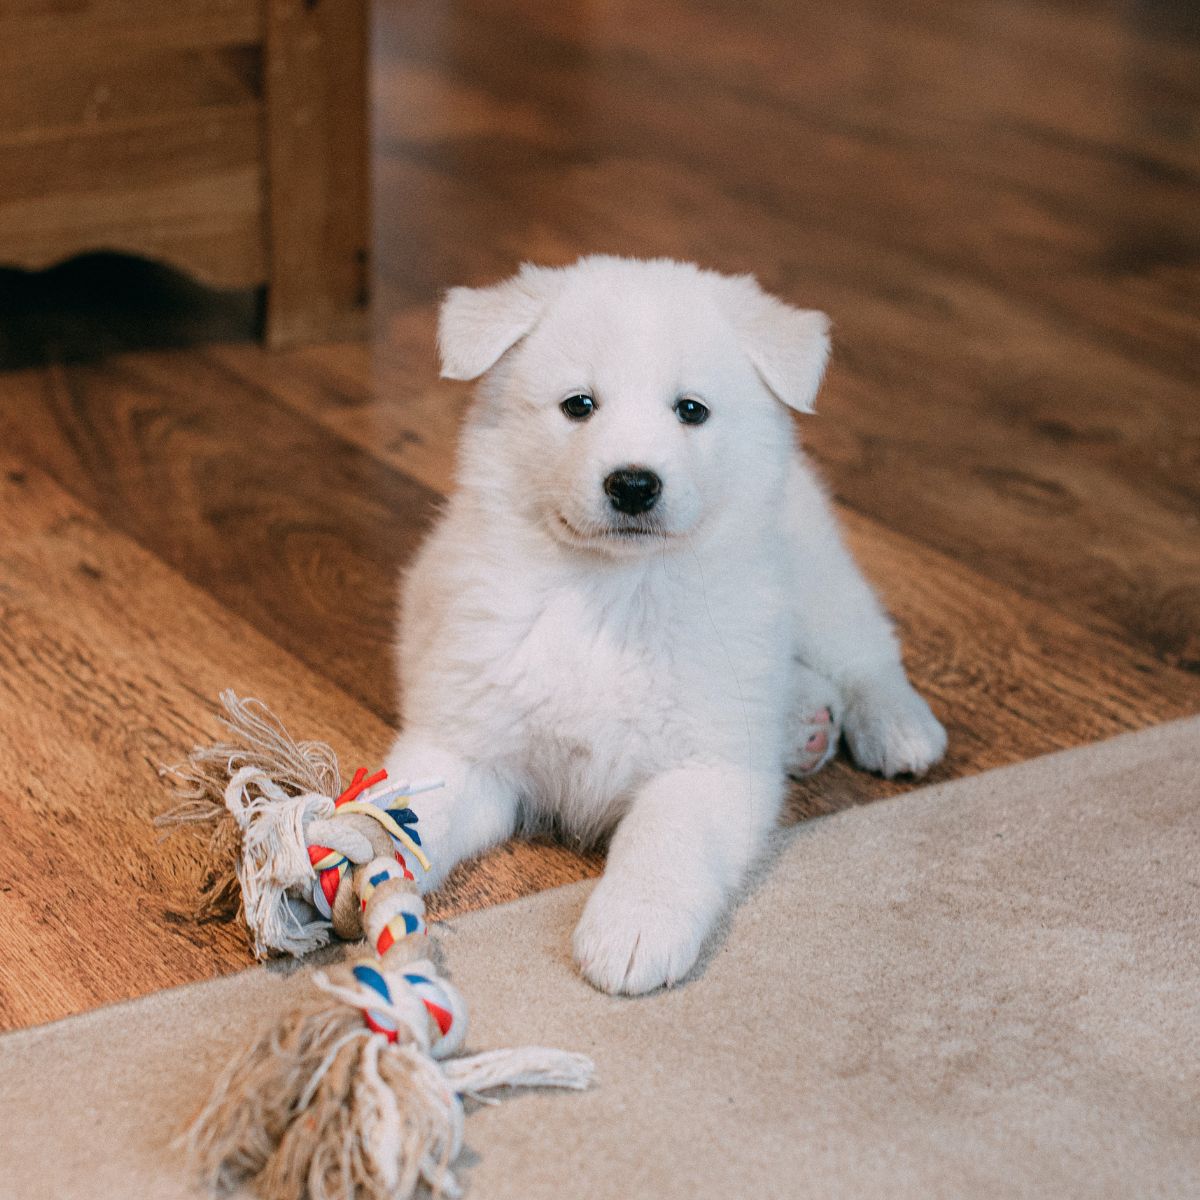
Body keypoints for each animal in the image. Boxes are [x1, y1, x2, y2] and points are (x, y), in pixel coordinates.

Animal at [386, 260, 945, 993]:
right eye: (579, 406)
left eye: (691, 410)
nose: (632, 485)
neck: (613, 594)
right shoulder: (467, 741)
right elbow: (412, 807)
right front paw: (336, 856)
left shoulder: (704, 766)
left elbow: (664, 839)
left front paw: (632, 929)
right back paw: (802, 722)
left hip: (815, 572)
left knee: (864, 649)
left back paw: (897, 726)